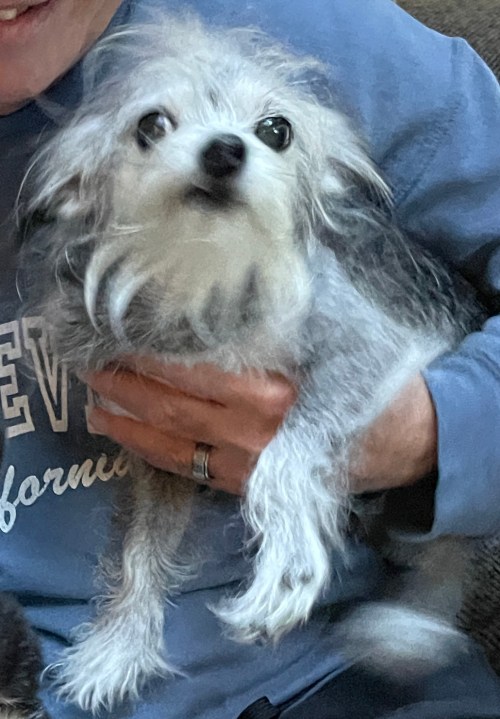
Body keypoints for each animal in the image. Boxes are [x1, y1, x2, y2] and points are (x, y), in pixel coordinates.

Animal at [15, 11, 480, 716]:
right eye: (152, 124)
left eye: (276, 130)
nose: (225, 150)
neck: (203, 273)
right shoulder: (161, 452)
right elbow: (141, 549)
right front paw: (120, 645)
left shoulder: (370, 350)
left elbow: (285, 458)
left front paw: (287, 567)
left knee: (444, 554)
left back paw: (409, 627)